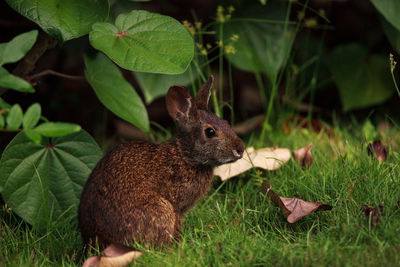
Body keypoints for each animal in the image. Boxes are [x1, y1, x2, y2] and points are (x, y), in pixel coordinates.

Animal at [78, 76, 244, 253]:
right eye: (210, 132)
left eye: (225, 121)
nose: (240, 149)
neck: (185, 155)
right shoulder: (177, 206)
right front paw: (179, 244)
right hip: (161, 209)